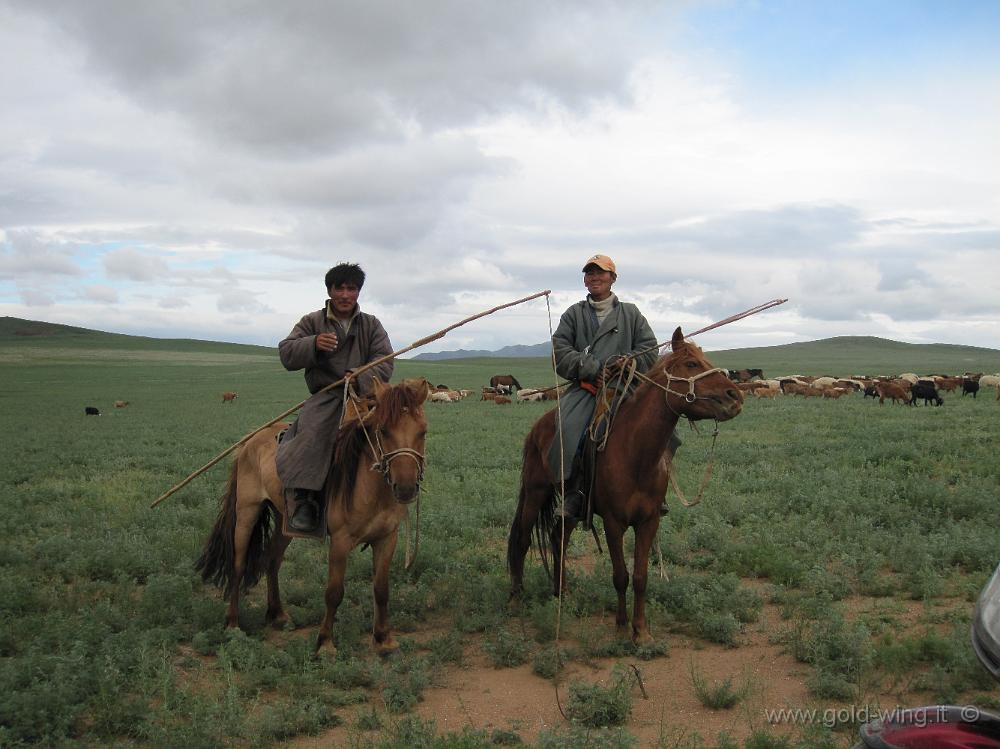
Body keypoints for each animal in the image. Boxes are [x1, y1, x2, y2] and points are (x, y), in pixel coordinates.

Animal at [195, 376, 430, 652]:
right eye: (383, 430)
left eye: (423, 431)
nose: (405, 488)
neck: (370, 486)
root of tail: (250, 440)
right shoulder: (340, 541)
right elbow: (334, 592)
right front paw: (325, 643)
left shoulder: (387, 538)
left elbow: (381, 589)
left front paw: (384, 639)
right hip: (246, 511)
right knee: (239, 564)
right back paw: (232, 623)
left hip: (286, 521)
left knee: (272, 559)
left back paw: (277, 614)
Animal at [508, 328, 744, 644]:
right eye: (692, 364)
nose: (735, 396)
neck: (637, 453)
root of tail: (538, 426)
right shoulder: (613, 522)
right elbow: (620, 575)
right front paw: (621, 627)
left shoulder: (649, 521)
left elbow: (641, 577)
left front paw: (641, 630)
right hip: (536, 491)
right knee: (522, 540)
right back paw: (516, 599)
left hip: (573, 505)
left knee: (559, 537)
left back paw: (562, 593)